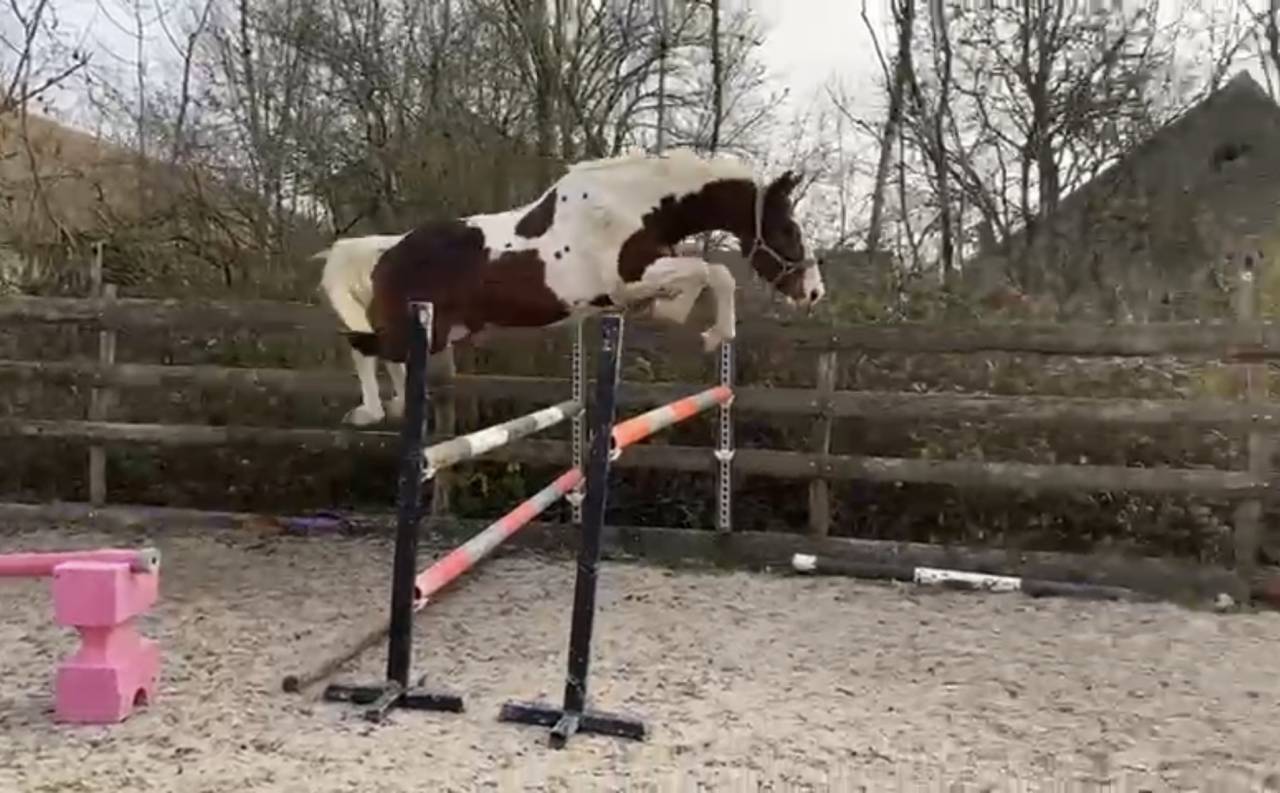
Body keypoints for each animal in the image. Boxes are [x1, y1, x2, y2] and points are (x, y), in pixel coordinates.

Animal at [313, 147, 825, 426]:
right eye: (787, 229)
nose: (815, 292)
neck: (636, 204)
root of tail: (388, 252)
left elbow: (700, 275)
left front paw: (671, 311)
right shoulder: (627, 278)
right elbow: (715, 272)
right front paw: (714, 333)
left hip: (438, 331)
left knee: (385, 356)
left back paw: (398, 406)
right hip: (415, 327)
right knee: (363, 346)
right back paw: (370, 413)